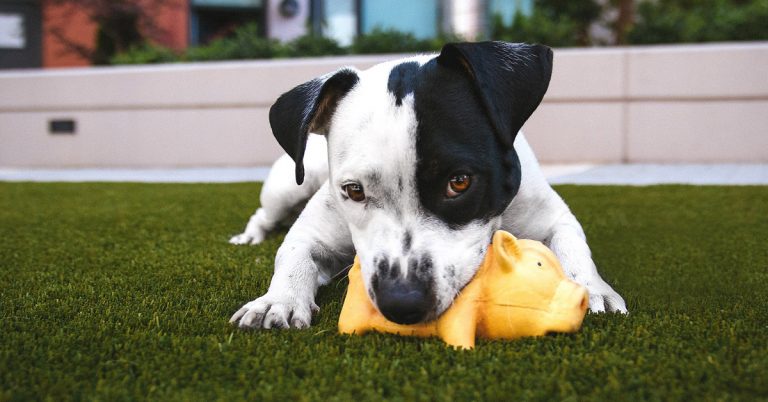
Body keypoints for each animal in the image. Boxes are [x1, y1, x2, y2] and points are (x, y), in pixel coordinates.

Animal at [230, 40, 632, 330]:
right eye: (354, 190)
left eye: (460, 182)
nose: (401, 302)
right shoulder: (313, 231)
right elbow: (293, 256)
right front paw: (277, 301)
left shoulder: (552, 217)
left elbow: (573, 247)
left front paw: (592, 288)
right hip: (287, 186)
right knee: (263, 214)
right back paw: (249, 237)